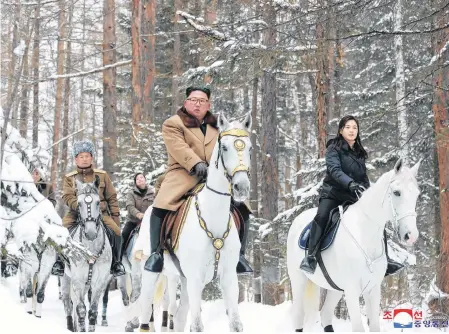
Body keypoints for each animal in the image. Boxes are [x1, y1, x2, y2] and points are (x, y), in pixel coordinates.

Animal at [60, 177, 113, 332]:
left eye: (98, 202)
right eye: (79, 203)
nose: (90, 233)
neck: (90, 250)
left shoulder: (100, 281)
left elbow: (93, 311)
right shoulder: (77, 280)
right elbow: (81, 309)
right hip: (66, 279)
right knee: (68, 303)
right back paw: (70, 326)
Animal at [288, 159, 420, 332]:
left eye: (416, 194)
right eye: (397, 192)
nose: (411, 236)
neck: (364, 234)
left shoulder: (373, 290)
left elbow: (374, 326)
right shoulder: (352, 290)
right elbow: (358, 327)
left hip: (335, 288)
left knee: (325, 314)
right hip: (298, 280)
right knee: (298, 316)